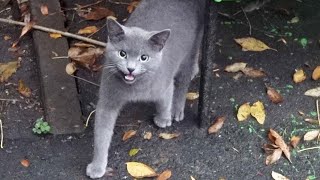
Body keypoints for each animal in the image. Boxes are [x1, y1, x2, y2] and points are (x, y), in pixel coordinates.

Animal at [85, 0, 205, 178]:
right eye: (122, 54)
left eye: (144, 57)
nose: (130, 69)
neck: (135, 88)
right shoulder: (108, 98)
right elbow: (102, 134)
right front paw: (97, 167)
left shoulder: (164, 83)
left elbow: (165, 100)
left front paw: (163, 119)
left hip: (191, 46)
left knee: (184, 78)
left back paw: (177, 108)